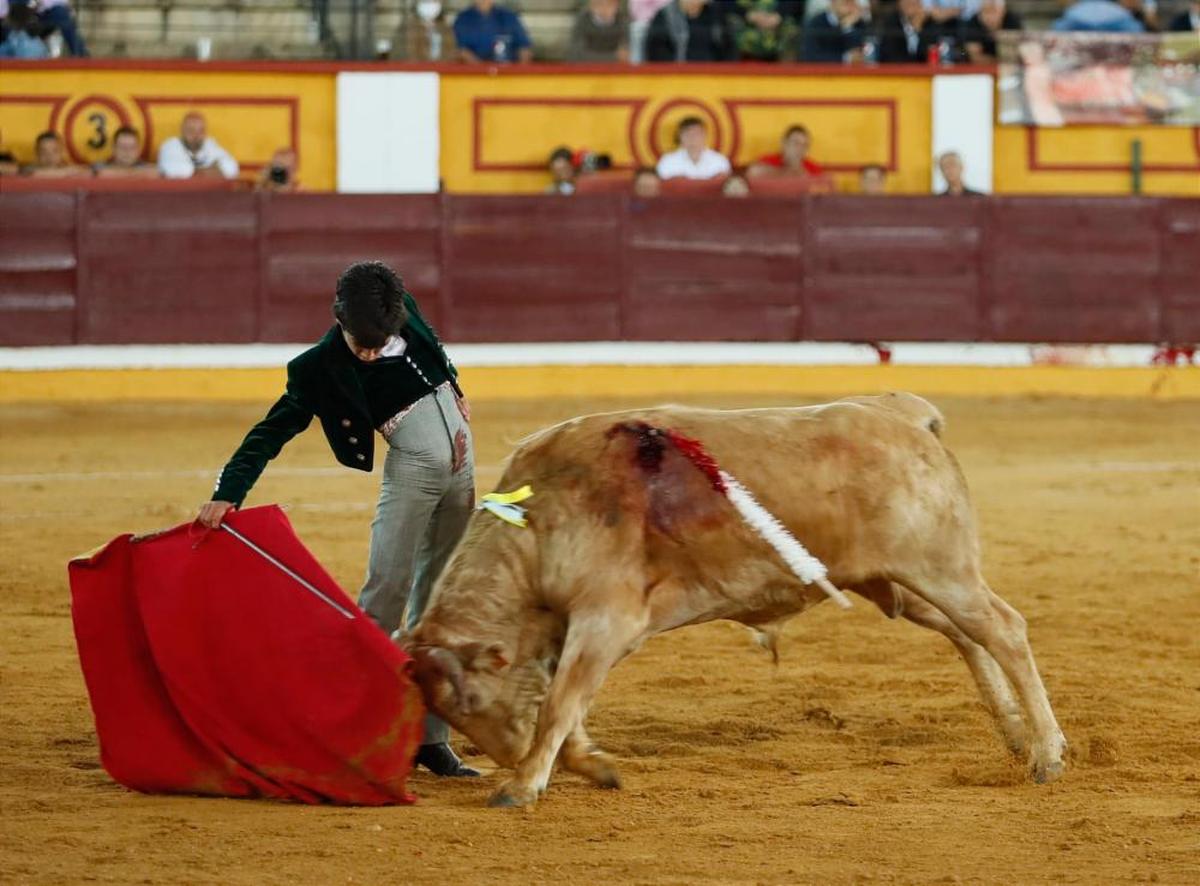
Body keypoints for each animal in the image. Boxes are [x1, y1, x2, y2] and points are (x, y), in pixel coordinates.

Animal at [405, 388, 1070, 801]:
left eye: (471, 698)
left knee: (1004, 628)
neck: (538, 521)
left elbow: (562, 701)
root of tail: (903, 413)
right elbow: (567, 702)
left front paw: (522, 786)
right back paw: (1015, 735)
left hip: (939, 567)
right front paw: (588, 766)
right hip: (898, 582)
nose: (510, 756)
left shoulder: (607, 617)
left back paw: (1047, 754)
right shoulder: (580, 631)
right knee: (969, 634)